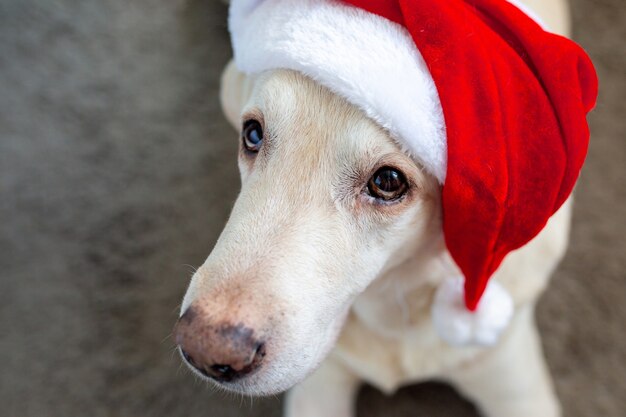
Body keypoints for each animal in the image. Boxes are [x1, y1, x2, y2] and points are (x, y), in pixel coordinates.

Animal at [173, 1, 576, 414]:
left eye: (387, 182)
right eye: (252, 134)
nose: (203, 349)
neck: (395, 303)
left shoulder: (517, 385)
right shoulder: (319, 389)